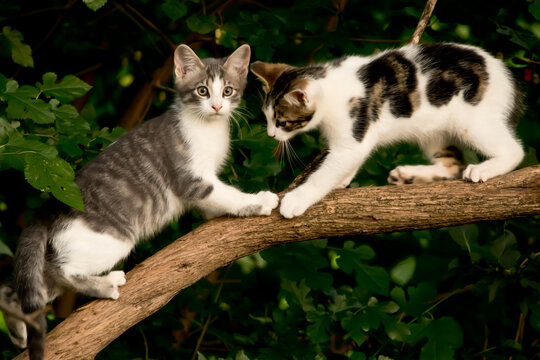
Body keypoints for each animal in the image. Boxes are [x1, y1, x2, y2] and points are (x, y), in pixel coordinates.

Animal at [1, 43, 278, 358]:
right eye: (203, 91)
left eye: (228, 91)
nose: (217, 106)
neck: (206, 128)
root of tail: (49, 210)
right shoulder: (191, 178)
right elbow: (225, 194)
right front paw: (258, 201)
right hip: (111, 238)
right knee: (64, 270)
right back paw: (106, 285)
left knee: (16, 290)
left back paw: (19, 331)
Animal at [252, 43, 524, 218]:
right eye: (266, 118)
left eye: (281, 122)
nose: (271, 135)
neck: (330, 87)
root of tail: (503, 72)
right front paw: (342, 180)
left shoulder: (354, 134)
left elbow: (326, 172)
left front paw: (298, 199)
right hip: (433, 130)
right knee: (452, 164)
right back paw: (409, 176)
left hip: (471, 119)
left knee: (514, 151)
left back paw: (484, 169)